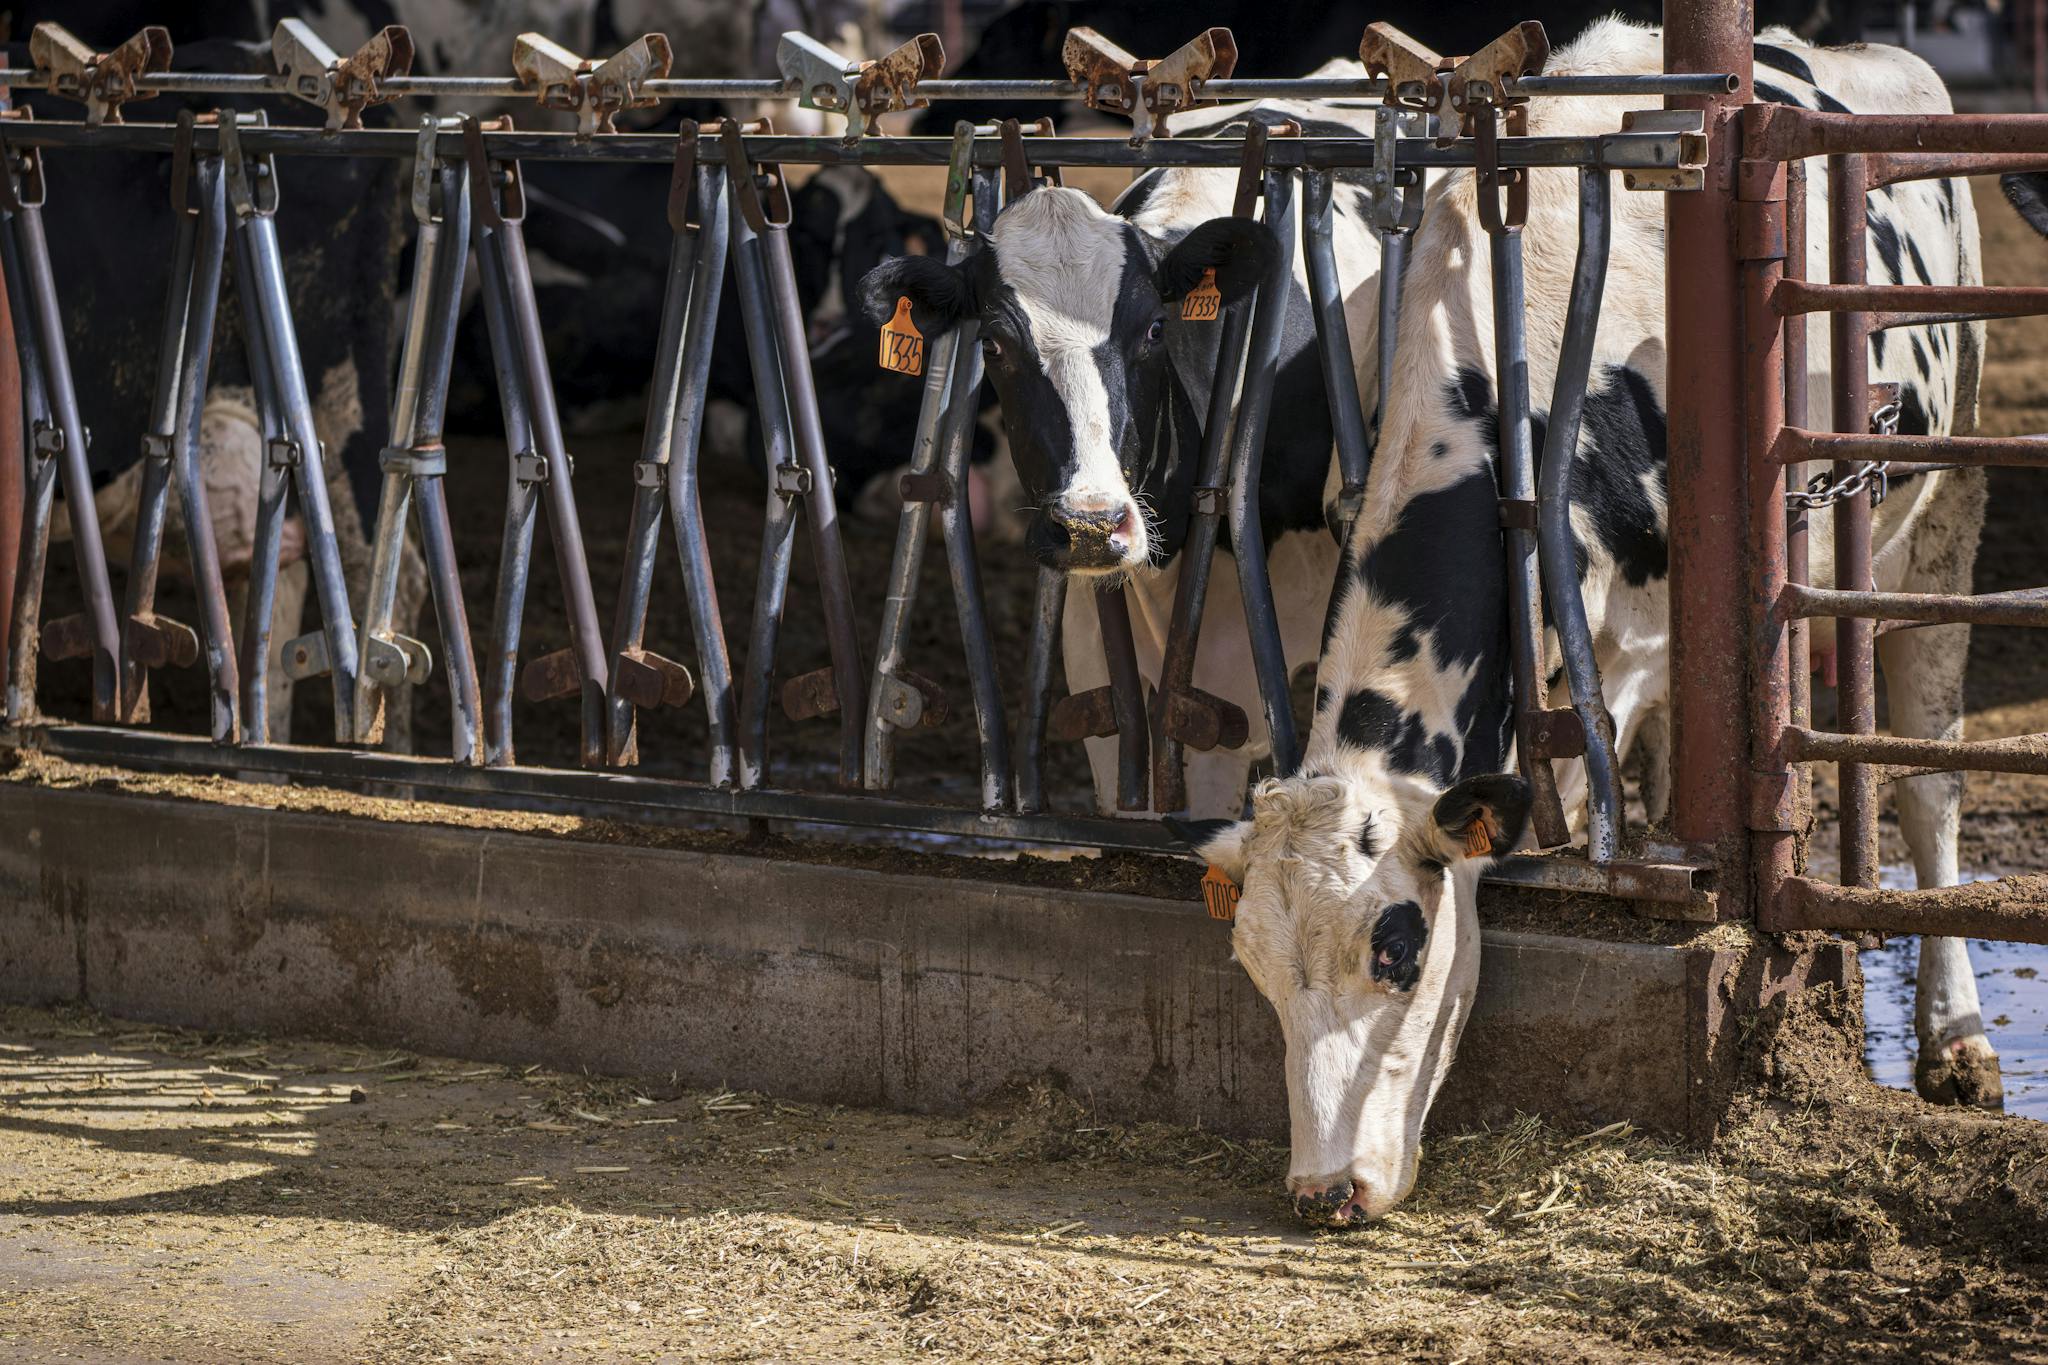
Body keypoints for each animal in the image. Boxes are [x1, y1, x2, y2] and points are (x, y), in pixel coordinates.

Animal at [1169, 17, 2028, 1225]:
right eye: (1251, 964)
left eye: (1398, 949)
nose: (1324, 1191)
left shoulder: (1623, 659)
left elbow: (1580, 805)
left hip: (1944, 513)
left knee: (1926, 783)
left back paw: (1955, 1039)